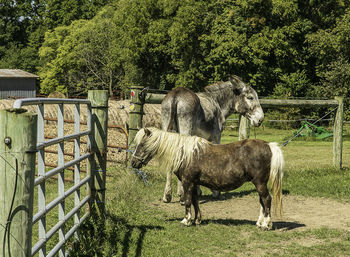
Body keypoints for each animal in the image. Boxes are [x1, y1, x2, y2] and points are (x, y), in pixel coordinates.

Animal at [131, 127, 284, 229]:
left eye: (142, 144)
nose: (133, 163)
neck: (185, 154)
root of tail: (268, 145)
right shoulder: (193, 183)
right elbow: (195, 201)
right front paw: (197, 220)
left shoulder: (187, 182)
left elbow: (188, 201)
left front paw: (186, 220)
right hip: (258, 183)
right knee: (262, 201)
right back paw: (259, 222)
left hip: (259, 183)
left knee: (266, 199)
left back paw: (266, 224)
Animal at [161, 74, 262, 202]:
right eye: (250, 97)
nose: (260, 119)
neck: (218, 103)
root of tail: (176, 94)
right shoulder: (216, 137)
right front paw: (215, 191)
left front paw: (196, 191)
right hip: (185, 132)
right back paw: (183, 197)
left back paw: (168, 195)